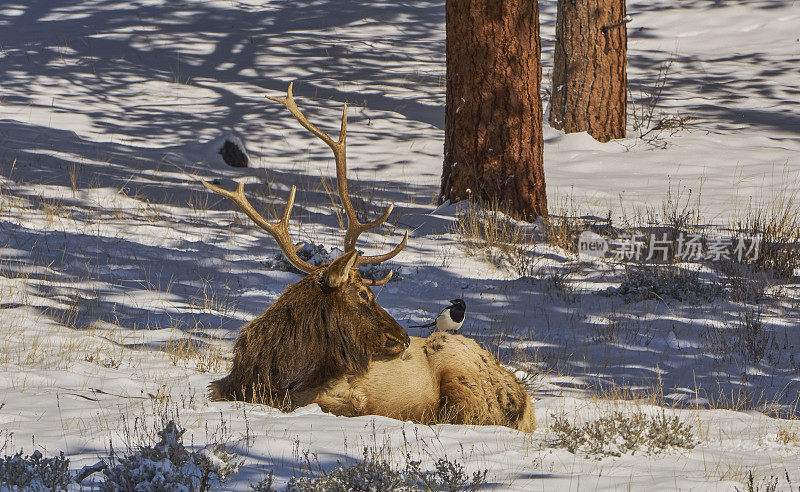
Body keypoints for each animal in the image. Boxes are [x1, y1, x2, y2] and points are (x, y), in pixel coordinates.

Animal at [203, 83, 536, 430]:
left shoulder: (341, 394)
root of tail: (525, 402)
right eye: (364, 294)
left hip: (462, 377)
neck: (273, 371)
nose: (403, 337)